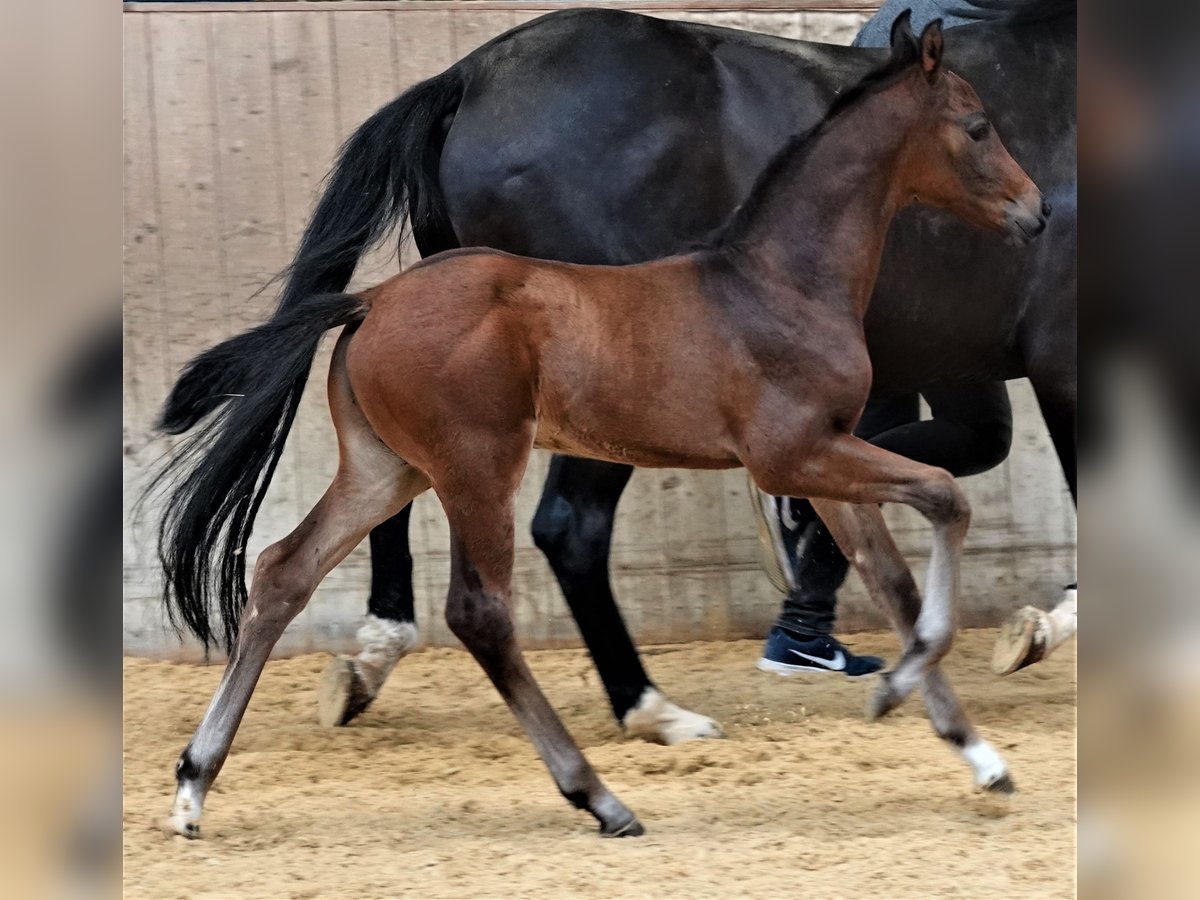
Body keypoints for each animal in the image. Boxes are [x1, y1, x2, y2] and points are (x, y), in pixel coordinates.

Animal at [157, 17, 1041, 844]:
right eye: (976, 125)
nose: (1035, 211)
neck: (778, 282)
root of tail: (371, 299)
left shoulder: (825, 462)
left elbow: (892, 579)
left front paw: (978, 754)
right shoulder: (794, 455)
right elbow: (944, 499)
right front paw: (900, 689)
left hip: (384, 470)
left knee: (282, 571)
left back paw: (194, 785)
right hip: (479, 466)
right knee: (481, 611)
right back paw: (600, 795)